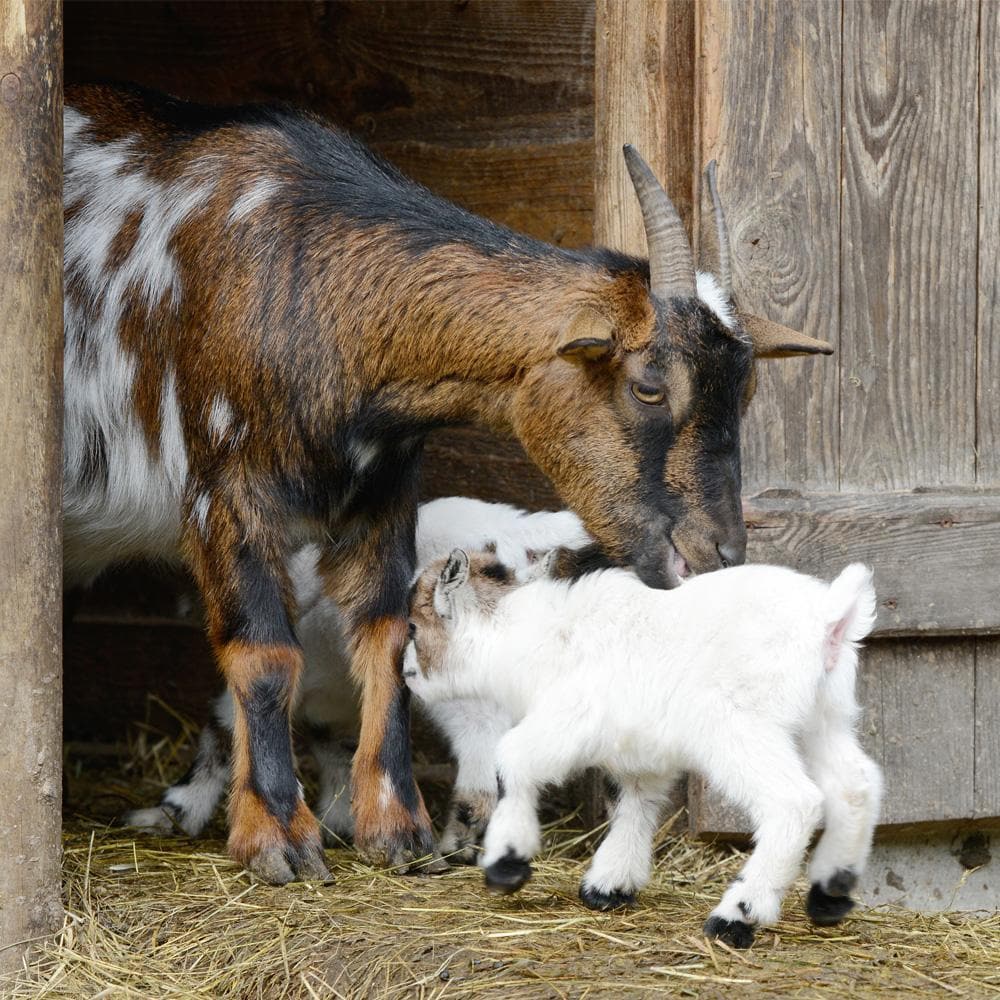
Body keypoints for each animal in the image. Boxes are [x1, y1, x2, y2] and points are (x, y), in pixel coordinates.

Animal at [62, 84, 828, 884]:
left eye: (744, 394)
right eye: (649, 386)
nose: (717, 553)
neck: (313, 286)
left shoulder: (384, 494)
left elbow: (388, 638)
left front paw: (396, 827)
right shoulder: (225, 495)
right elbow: (266, 656)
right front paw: (276, 837)